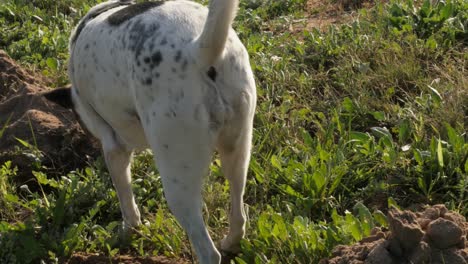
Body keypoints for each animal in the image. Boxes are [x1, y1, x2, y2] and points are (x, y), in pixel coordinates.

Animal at [44, 1, 256, 262]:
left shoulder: (114, 146)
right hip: (237, 152)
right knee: (238, 215)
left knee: (208, 251)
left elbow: (125, 198)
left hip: (178, 179)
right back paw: (230, 242)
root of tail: (197, 51)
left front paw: (128, 231)